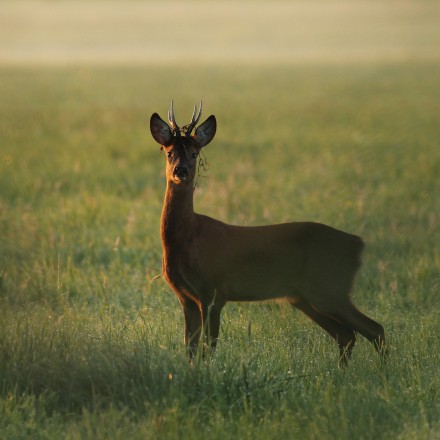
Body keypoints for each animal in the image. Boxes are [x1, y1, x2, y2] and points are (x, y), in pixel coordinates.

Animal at [149, 100, 384, 364]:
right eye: (169, 152)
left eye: (194, 153)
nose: (180, 171)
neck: (187, 238)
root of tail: (358, 244)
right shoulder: (186, 297)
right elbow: (189, 350)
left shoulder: (213, 292)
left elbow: (208, 350)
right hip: (306, 296)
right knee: (347, 334)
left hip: (330, 287)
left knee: (373, 329)